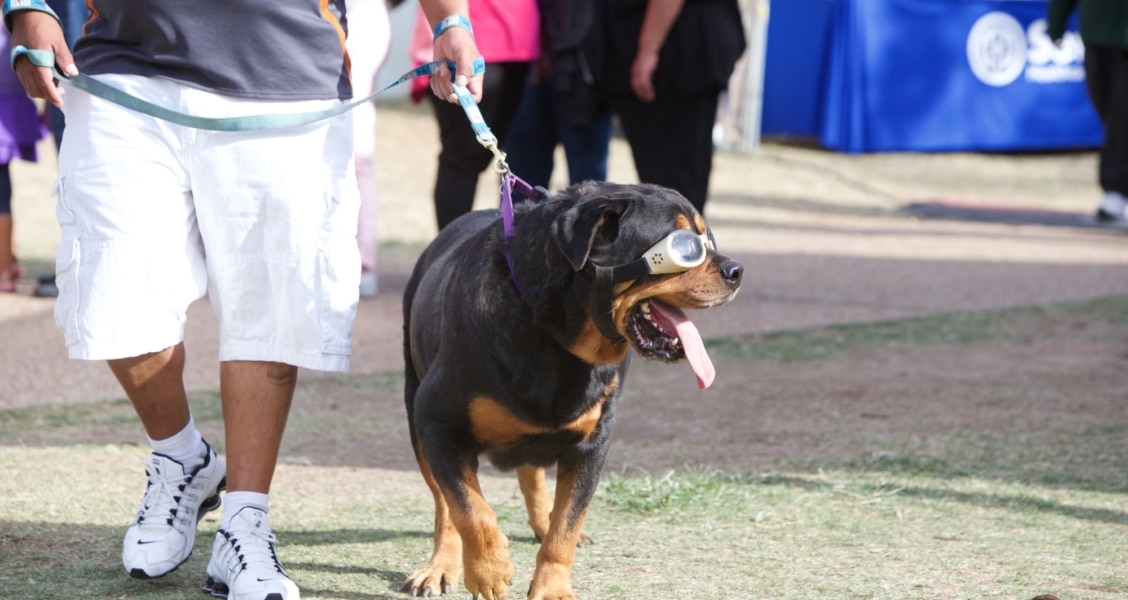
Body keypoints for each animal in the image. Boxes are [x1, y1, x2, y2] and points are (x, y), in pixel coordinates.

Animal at [401, 181, 743, 599]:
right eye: (685, 248)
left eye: (707, 239)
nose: (736, 269)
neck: (555, 339)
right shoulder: (437, 421)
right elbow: (468, 507)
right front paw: (489, 570)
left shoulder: (593, 442)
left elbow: (567, 523)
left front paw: (551, 584)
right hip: (415, 409)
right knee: (444, 502)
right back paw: (440, 566)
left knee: (532, 477)